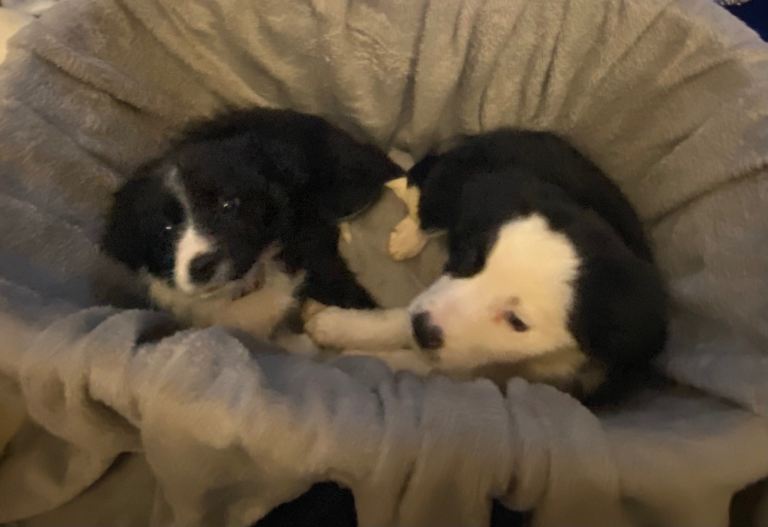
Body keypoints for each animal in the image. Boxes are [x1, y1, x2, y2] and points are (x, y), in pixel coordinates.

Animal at [303, 129, 669, 407]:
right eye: (467, 258)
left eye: (517, 322)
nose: (422, 328)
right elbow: (397, 321)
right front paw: (337, 325)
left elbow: (422, 362)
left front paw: (358, 349)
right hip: (454, 179)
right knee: (422, 194)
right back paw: (407, 228)